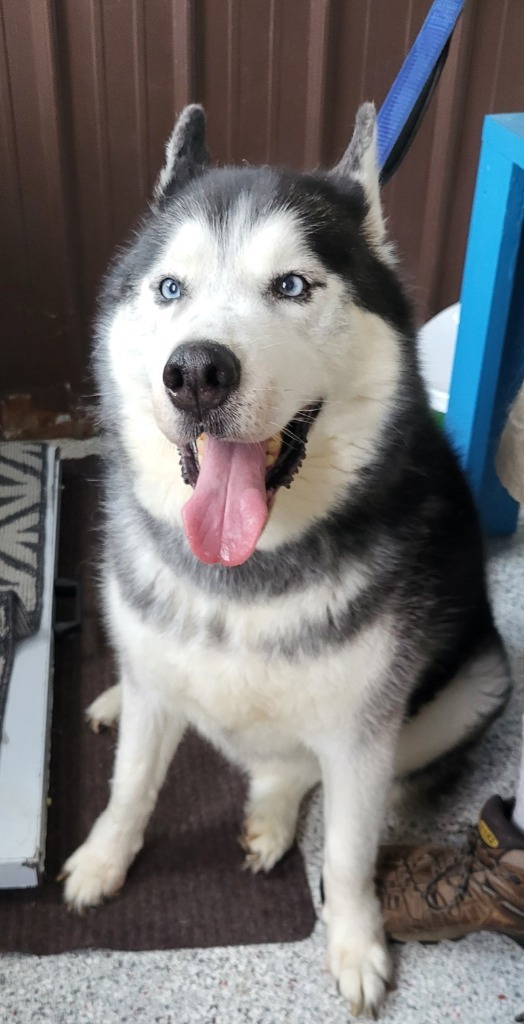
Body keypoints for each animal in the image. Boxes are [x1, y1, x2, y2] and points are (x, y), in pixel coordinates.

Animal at [60, 103, 507, 1015]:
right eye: (170, 289)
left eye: (293, 287)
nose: (196, 371)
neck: (243, 575)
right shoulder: (159, 673)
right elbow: (129, 785)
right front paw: (103, 859)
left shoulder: (363, 733)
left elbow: (347, 848)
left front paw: (355, 942)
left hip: (475, 684)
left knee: (298, 766)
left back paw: (269, 811)